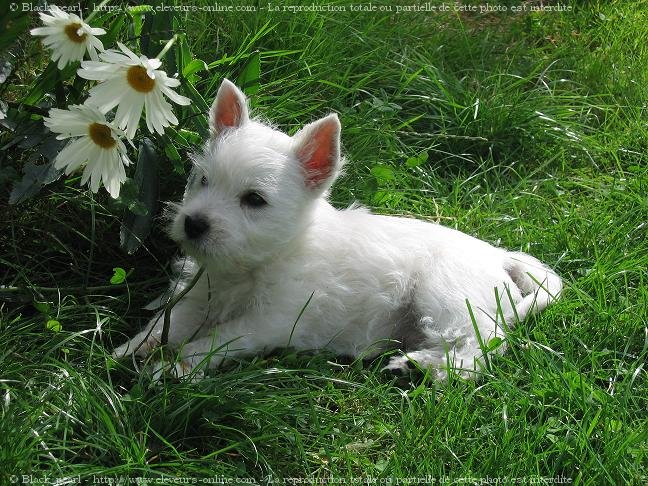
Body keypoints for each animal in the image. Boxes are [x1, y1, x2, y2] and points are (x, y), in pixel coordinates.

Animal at [115, 79, 560, 380]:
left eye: (254, 200)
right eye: (203, 180)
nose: (193, 223)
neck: (251, 266)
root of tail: (498, 255)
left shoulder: (270, 320)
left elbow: (213, 341)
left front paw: (175, 368)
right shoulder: (197, 297)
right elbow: (167, 323)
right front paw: (131, 350)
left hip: (446, 296)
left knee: (477, 347)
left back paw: (427, 370)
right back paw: (411, 362)